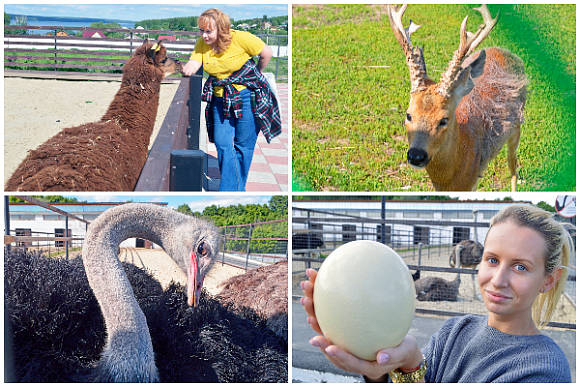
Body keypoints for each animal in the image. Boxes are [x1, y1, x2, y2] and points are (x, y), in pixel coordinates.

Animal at [390, 5, 524, 193]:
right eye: (408, 115)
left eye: (444, 120)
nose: (416, 156)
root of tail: (504, 51)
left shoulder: (470, 183)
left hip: (517, 125)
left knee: (513, 166)